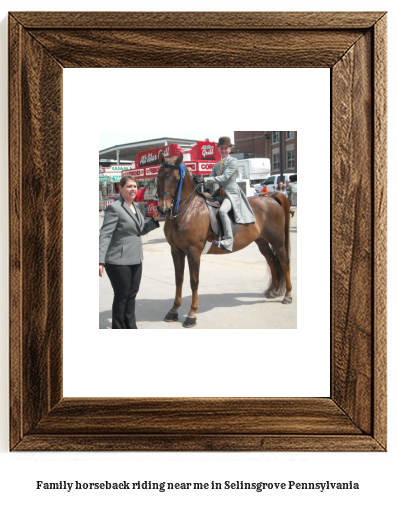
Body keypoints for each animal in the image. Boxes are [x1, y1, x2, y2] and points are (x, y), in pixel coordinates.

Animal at [157, 153, 290, 328]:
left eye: (176, 178)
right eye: (158, 176)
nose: (162, 208)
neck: (188, 210)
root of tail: (272, 199)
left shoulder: (193, 252)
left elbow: (194, 281)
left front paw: (192, 314)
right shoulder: (176, 251)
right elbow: (179, 279)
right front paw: (173, 310)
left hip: (277, 241)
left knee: (284, 262)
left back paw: (288, 295)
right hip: (262, 241)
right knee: (271, 260)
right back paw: (273, 290)